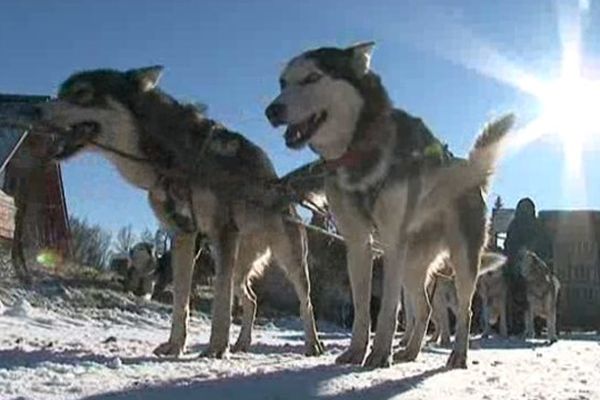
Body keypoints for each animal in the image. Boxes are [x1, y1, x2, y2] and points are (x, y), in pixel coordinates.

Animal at [35, 65, 324, 356]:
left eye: (82, 93)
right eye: (61, 92)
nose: (36, 109)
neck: (173, 157)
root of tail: (281, 184)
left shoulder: (222, 232)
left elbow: (220, 302)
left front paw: (216, 347)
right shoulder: (184, 236)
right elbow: (180, 302)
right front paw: (175, 344)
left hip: (287, 261)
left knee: (305, 302)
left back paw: (312, 343)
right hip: (238, 265)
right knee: (251, 300)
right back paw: (242, 342)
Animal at [268, 42, 516, 368]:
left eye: (312, 78)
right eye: (282, 83)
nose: (271, 111)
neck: (359, 151)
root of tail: (471, 172)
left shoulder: (391, 242)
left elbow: (387, 308)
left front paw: (378, 354)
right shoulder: (358, 242)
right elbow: (362, 308)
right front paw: (356, 351)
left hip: (461, 260)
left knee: (465, 310)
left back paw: (457, 355)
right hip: (413, 264)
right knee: (424, 310)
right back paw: (410, 351)